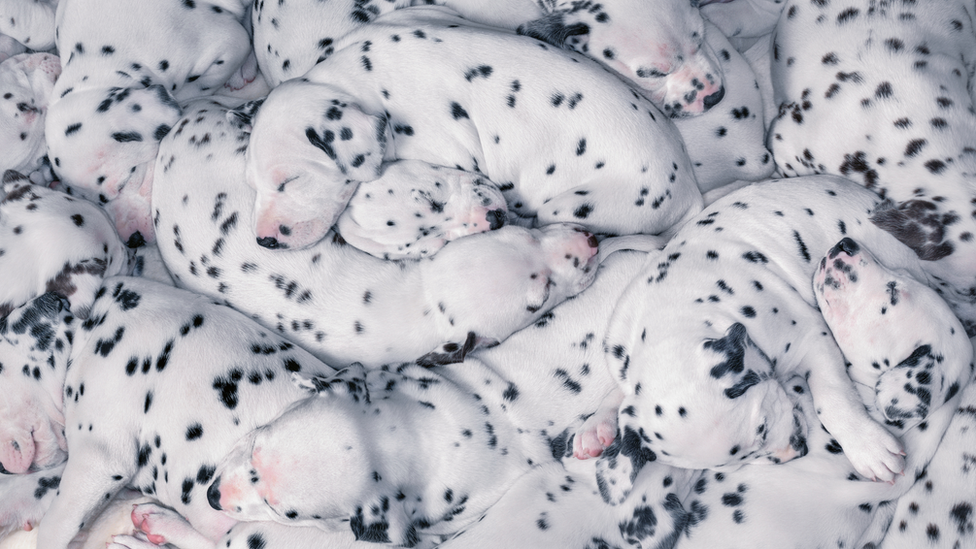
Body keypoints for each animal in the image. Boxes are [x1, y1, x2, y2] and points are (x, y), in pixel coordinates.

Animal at [44, 0, 264, 246]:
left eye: (126, 180)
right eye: (92, 200)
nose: (134, 240)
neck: (101, 58)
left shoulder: (228, 44)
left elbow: (199, 86)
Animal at [244, 6, 700, 249]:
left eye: (291, 181)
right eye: (256, 184)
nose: (263, 240)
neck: (356, 76)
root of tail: (690, 193)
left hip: (572, 206)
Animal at [580, 174, 960, 506]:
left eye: (762, 426)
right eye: (733, 461)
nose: (798, 448)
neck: (675, 314)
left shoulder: (813, 338)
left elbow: (832, 397)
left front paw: (867, 446)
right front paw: (599, 423)